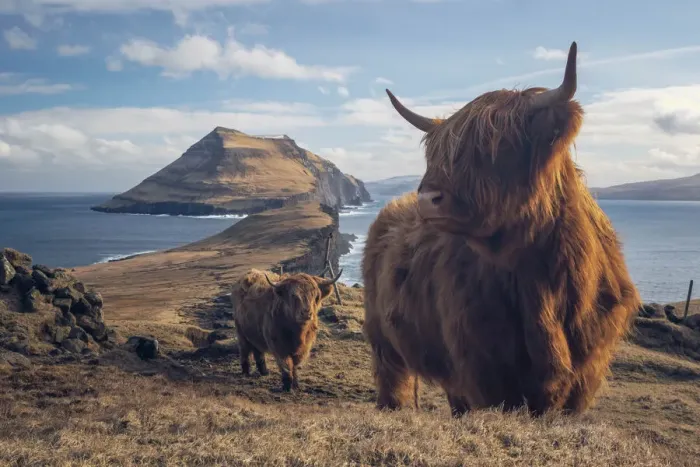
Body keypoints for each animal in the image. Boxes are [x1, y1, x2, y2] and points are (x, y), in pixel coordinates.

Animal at [361, 42, 641, 417]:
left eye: (496, 146)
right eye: (436, 154)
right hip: (383, 339)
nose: (427, 199)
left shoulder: (586, 372)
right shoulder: (485, 369)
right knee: (393, 379)